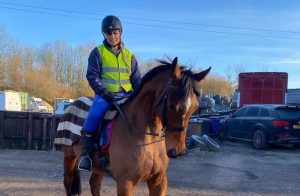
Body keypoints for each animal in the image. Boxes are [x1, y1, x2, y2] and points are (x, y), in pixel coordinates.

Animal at [57, 57, 210, 196]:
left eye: (194, 107)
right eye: (172, 105)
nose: (177, 151)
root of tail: (71, 105)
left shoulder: (158, 181)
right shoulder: (125, 182)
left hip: (97, 168)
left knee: (94, 184)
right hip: (69, 157)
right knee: (68, 183)